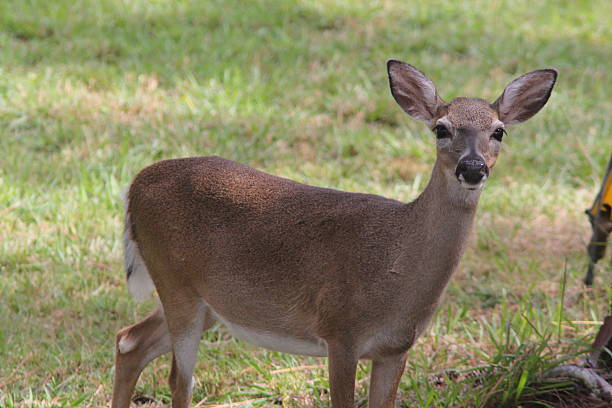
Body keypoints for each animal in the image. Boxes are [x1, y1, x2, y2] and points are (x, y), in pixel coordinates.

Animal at [110, 60, 556, 408]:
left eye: (499, 131)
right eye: (440, 129)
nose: (473, 168)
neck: (396, 265)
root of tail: (135, 184)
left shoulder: (396, 347)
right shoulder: (340, 330)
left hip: (206, 303)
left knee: (129, 341)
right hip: (176, 282)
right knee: (176, 380)